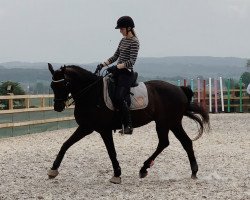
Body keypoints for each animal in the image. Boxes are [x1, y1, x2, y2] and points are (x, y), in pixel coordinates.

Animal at [47, 63, 209, 184]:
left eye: (65, 83)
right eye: (52, 86)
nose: (58, 107)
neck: (91, 93)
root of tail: (179, 89)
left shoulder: (103, 130)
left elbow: (111, 152)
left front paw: (117, 174)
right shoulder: (86, 127)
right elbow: (65, 144)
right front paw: (53, 170)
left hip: (164, 122)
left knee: (165, 142)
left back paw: (144, 169)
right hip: (173, 123)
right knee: (184, 142)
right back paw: (193, 171)